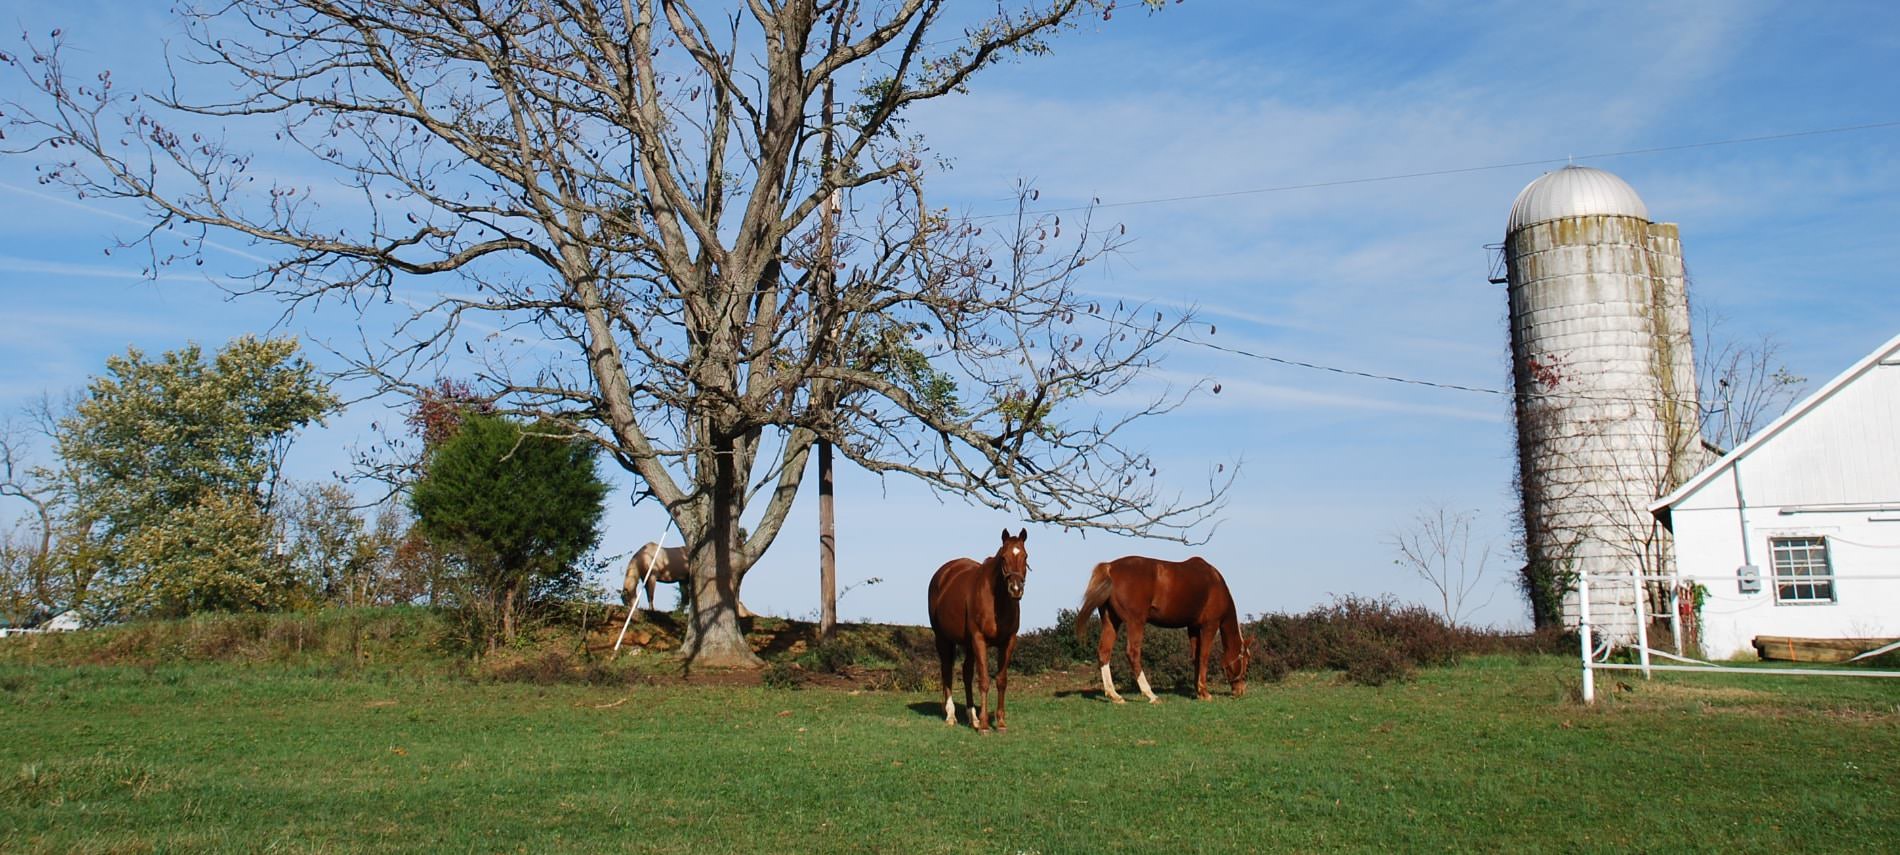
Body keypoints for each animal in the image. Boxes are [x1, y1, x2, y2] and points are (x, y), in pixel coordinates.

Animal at [927, 532, 1033, 729]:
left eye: (1025, 556)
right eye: (1003, 558)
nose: (1016, 589)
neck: (996, 602)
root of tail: (943, 573)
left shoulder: (1008, 642)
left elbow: (1001, 680)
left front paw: (1000, 722)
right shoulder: (979, 639)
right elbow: (983, 680)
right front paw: (984, 725)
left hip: (968, 644)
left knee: (966, 673)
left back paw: (972, 717)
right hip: (943, 638)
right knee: (947, 670)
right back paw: (951, 715)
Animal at [1079, 554, 1254, 703]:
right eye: (1245, 661)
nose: (1240, 691)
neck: (1215, 582)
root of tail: (1110, 567)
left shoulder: (1193, 628)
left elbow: (1196, 657)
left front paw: (1198, 691)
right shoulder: (1210, 626)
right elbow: (1204, 657)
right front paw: (1205, 692)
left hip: (1111, 622)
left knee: (1104, 652)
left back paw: (1114, 695)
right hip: (1135, 622)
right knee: (1133, 653)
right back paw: (1150, 695)